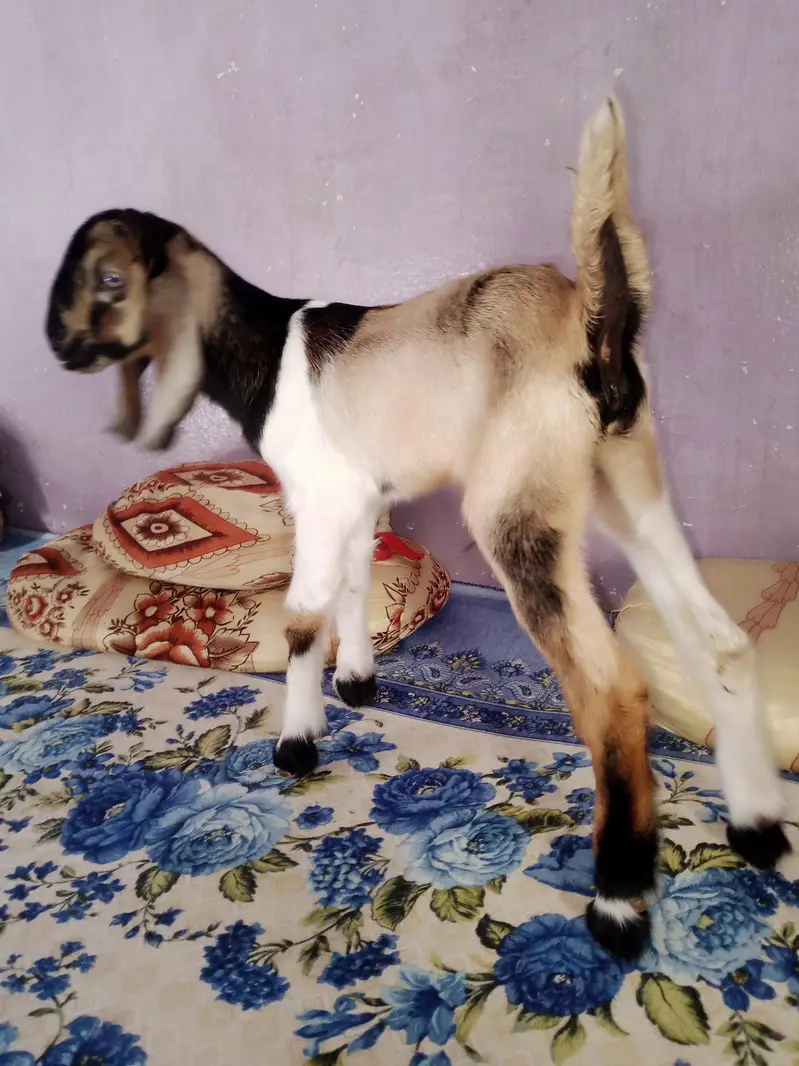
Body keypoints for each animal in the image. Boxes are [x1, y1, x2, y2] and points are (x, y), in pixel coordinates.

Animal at [44, 98, 789, 958]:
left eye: (109, 279)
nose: (58, 347)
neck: (266, 343)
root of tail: (591, 318)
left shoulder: (317, 497)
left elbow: (301, 616)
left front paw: (295, 744)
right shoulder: (362, 500)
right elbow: (354, 586)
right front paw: (356, 682)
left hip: (516, 515)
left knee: (612, 694)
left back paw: (617, 903)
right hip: (628, 491)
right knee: (719, 646)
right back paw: (756, 826)